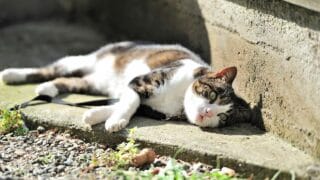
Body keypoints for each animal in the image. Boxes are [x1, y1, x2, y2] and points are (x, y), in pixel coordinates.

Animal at [0, 41, 251, 133]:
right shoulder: (141, 81)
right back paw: (12, 74)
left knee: (69, 82)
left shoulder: (149, 106)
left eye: (222, 117)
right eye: (212, 95)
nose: (208, 112)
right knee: (53, 68)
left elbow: (124, 103)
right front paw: (115, 121)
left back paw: (48, 90)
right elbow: (131, 101)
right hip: (83, 60)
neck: (177, 101)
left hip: (92, 84)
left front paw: (95, 114)